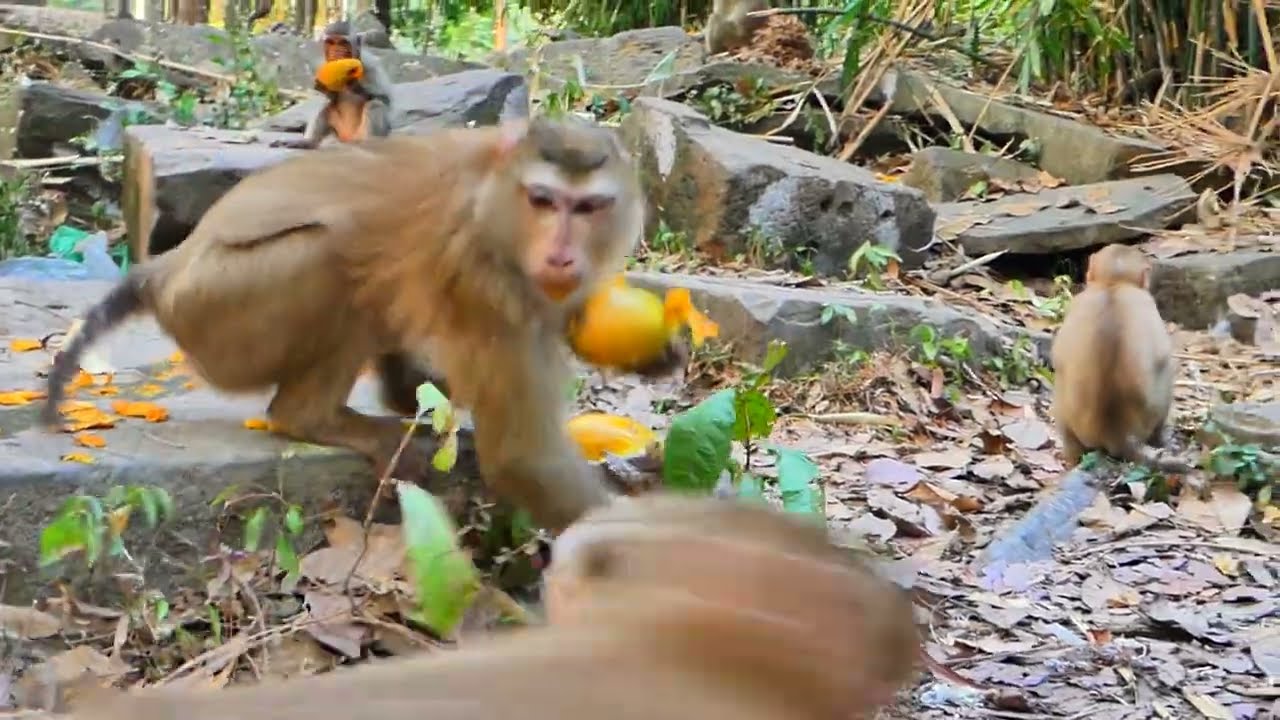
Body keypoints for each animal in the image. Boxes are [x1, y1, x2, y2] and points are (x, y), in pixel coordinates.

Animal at [42, 116, 686, 535]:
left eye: (589, 208)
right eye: (545, 201)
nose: (560, 255)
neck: (497, 202)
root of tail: (167, 269)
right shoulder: (487, 280)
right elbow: (526, 458)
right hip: (217, 313)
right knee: (335, 253)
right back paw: (312, 417)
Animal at [271, 19, 395, 150]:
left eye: (343, 43)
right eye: (330, 42)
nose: (336, 52)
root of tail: (348, 138)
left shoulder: (370, 64)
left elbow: (384, 97)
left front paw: (352, 82)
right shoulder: (320, 66)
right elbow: (326, 97)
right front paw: (324, 87)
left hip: (361, 134)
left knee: (374, 104)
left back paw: (371, 143)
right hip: (338, 132)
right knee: (325, 105)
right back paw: (308, 142)